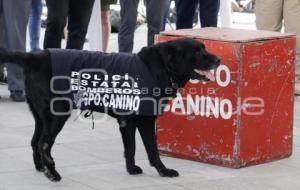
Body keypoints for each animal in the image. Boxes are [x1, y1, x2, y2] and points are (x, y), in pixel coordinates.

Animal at [0, 38, 220, 181]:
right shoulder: (136, 120)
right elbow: (143, 148)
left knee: (34, 141)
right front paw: (155, 171)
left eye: (204, 47)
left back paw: (41, 168)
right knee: (44, 144)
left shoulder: (139, 121)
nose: (218, 60)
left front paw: (143, 170)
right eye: (197, 51)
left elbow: (141, 150)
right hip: (57, 115)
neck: (161, 67)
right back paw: (51, 172)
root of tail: (35, 56)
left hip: (40, 116)